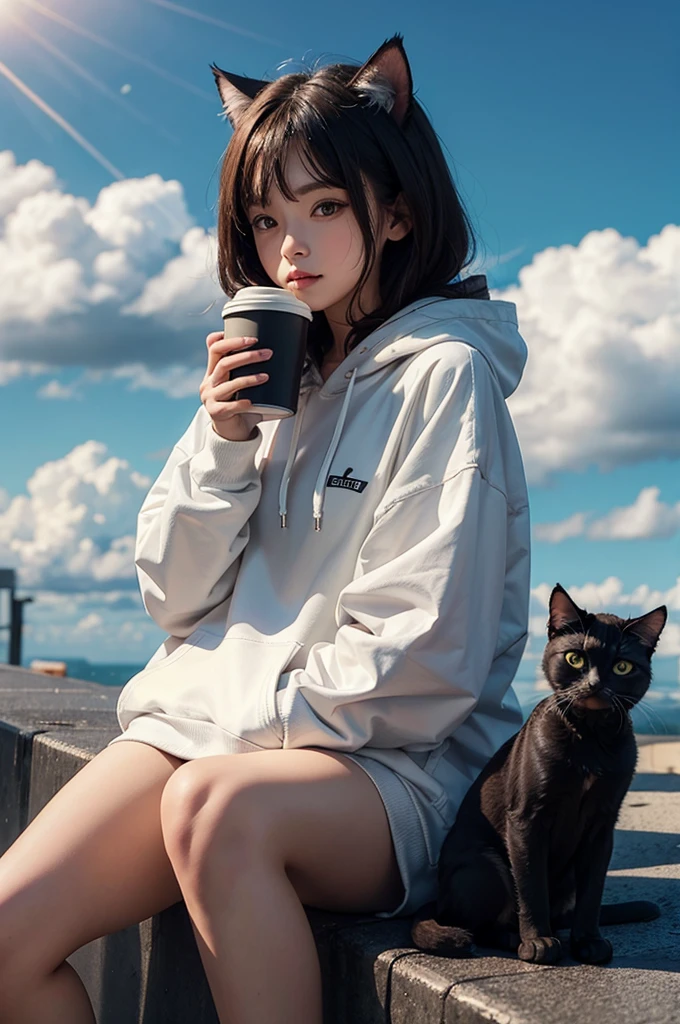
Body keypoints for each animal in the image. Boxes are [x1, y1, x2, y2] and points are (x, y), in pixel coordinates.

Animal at [411, 581, 667, 962]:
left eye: (622, 666)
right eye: (575, 658)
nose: (594, 684)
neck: (589, 740)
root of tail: (438, 900)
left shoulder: (602, 824)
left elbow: (593, 891)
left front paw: (588, 941)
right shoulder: (527, 818)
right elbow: (531, 885)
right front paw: (538, 942)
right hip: (485, 866)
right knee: (478, 923)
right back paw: (513, 939)